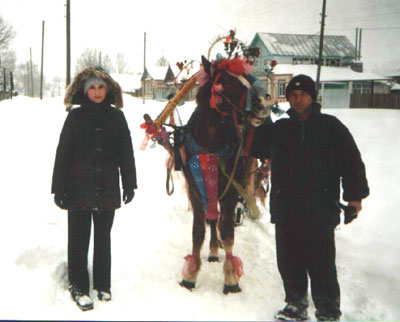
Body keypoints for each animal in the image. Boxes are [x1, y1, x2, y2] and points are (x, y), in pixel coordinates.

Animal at [179, 56, 272, 294]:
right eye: (228, 83)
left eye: (247, 79)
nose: (264, 104)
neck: (211, 146)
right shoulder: (197, 191)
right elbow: (198, 232)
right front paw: (190, 275)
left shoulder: (230, 192)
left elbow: (228, 231)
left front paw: (231, 278)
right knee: (213, 221)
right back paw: (213, 250)